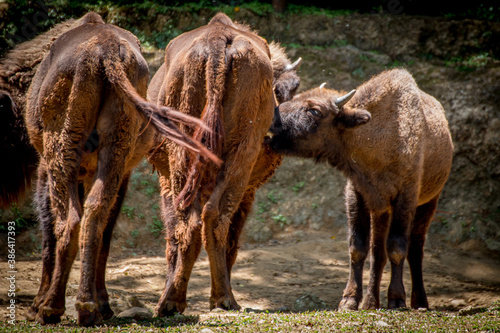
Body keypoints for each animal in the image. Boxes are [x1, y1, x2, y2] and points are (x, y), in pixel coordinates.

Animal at [270, 68, 454, 310]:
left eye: (315, 110)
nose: (272, 121)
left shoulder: (406, 197)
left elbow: (397, 247)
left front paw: (396, 299)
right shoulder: (358, 195)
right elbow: (358, 247)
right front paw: (349, 300)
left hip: (429, 202)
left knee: (415, 249)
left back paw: (419, 301)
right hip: (381, 211)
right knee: (378, 253)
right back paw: (370, 302)